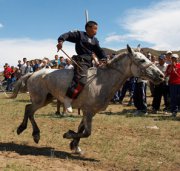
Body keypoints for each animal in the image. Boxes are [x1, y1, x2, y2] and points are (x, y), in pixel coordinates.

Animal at [10, 44, 164, 153]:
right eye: (142, 60)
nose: (161, 75)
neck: (102, 81)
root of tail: (32, 74)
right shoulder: (89, 111)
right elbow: (87, 132)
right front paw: (68, 135)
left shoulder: (89, 111)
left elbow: (81, 129)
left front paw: (75, 145)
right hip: (40, 99)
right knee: (29, 110)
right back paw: (32, 133)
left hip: (46, 99)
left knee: (29, 109)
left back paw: (28, 131)